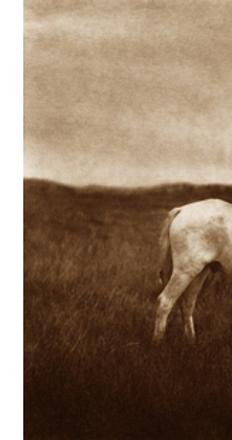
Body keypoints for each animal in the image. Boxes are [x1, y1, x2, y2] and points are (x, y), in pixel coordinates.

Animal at [153, 198, 231, 346]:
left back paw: (191, 341)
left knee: (188, 303)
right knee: (166, 301)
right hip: (184, 271)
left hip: (199, 272)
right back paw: (157, 342)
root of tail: (181, 209)